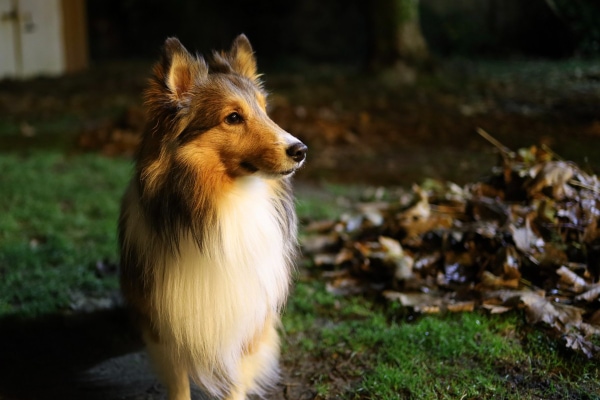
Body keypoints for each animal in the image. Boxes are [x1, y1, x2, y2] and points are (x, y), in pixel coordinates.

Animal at [118, 35, 308, 400]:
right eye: (233, 117)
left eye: (264, 110)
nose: (301, 150)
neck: (224, 203)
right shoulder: (166, 326)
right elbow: (179, 385)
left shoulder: (244, 323)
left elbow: (235, 381)